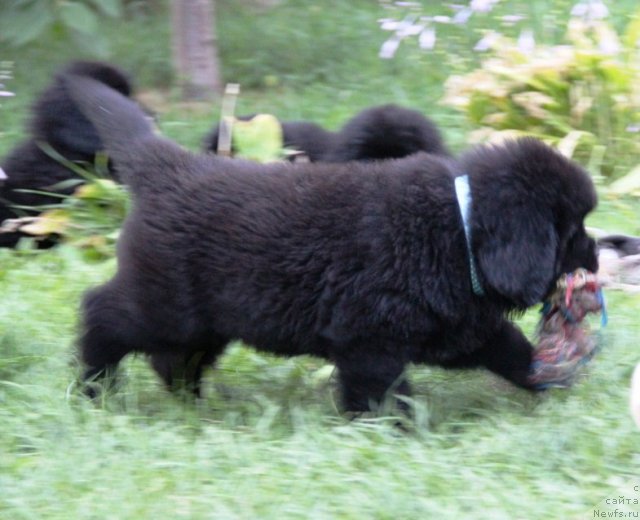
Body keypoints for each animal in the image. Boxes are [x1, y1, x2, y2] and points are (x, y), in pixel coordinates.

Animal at [67, 76, 596, 414]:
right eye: (571, 231)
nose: (595, 257)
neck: (457, 228)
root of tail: (167, 166)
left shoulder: (457, 325)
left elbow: (511, 349)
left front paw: (550, 376)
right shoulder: (368, 340)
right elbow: (383, 393)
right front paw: (400, 432)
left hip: (205, 318)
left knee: (172, 358)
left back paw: (191, 405)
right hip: (164, 302)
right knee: (102, 313)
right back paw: (93, 389)